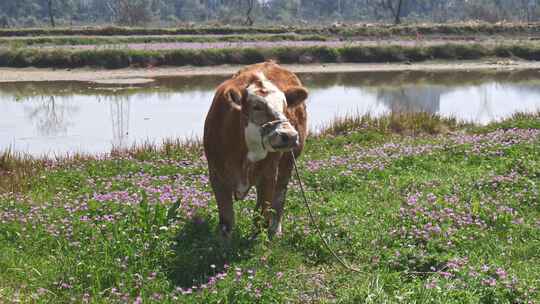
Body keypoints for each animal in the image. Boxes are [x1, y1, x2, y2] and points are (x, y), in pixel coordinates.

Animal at [204, 61, 308, 238]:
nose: (289, 135)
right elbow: (226, 219)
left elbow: (261, 216)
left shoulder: (269, 175)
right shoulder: (217, 175)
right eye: (256, 107)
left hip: (287, 164)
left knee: (280, 195)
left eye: (285, 106)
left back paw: (275, 229)